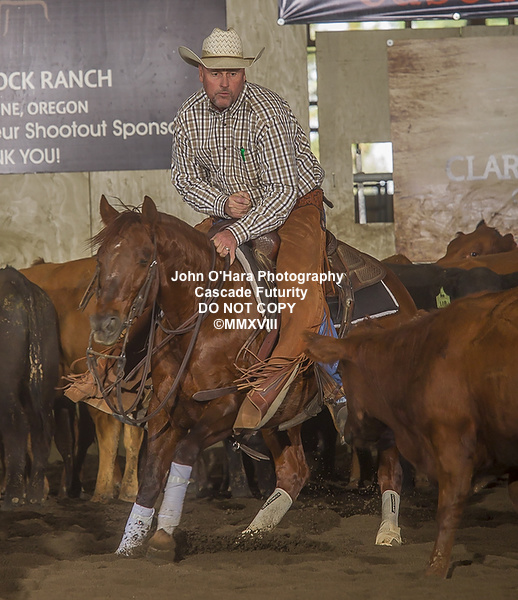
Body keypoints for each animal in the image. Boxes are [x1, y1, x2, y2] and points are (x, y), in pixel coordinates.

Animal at [87, 194, 417, 557]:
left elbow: (185, 452)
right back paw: (251, 536)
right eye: (100, 259)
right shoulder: (167, 409)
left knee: (390, 468)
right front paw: (128, 546)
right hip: (278, 415)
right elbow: (149, 477)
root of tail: (400, 290)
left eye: (144, 258)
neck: (206, 315)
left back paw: (388, 531)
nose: (104, 323)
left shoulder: (228, 406)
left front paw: (162, 536)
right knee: (294, 473)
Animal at [304, 286, 518, 577]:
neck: (421, 356)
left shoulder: (451, 439)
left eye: (343, 371)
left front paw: (435, 569)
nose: (347, 431)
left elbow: (449, 504)